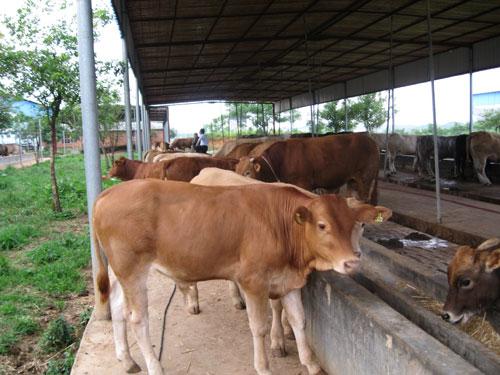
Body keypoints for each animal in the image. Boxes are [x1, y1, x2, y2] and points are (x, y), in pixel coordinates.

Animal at [93, 181, 390, 374]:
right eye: (322, 225)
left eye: (356, 224)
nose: (352, 261)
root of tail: (108, 192)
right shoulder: (253, 281)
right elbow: (258, 327)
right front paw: (264, 367)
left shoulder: (288, 282)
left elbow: (299, 320)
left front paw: (311, 364)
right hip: (133, 269)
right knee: (138, 319)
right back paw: (154, 366)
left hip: (120, 272)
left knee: (118, 308)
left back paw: (127, 360)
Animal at [234, 133, 378, 204]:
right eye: (236, 171)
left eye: (247, 172)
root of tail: (370, 140)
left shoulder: (304, 184)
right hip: (352, 181)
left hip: (365, 179)